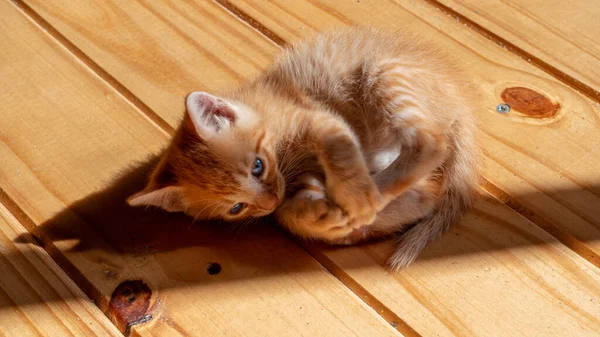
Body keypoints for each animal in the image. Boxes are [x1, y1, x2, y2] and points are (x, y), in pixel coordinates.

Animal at [129, 26, 480, 270]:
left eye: (258, 166)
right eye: (236, 208)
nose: (269, 201)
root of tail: (460, 102)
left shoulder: (320, 119)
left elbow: (338, 154)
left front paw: (356, 201)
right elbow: (288, 214)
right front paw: (324, 218)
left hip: (384, 73)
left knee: (430, 145)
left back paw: (375, 192)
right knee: (426, 198)